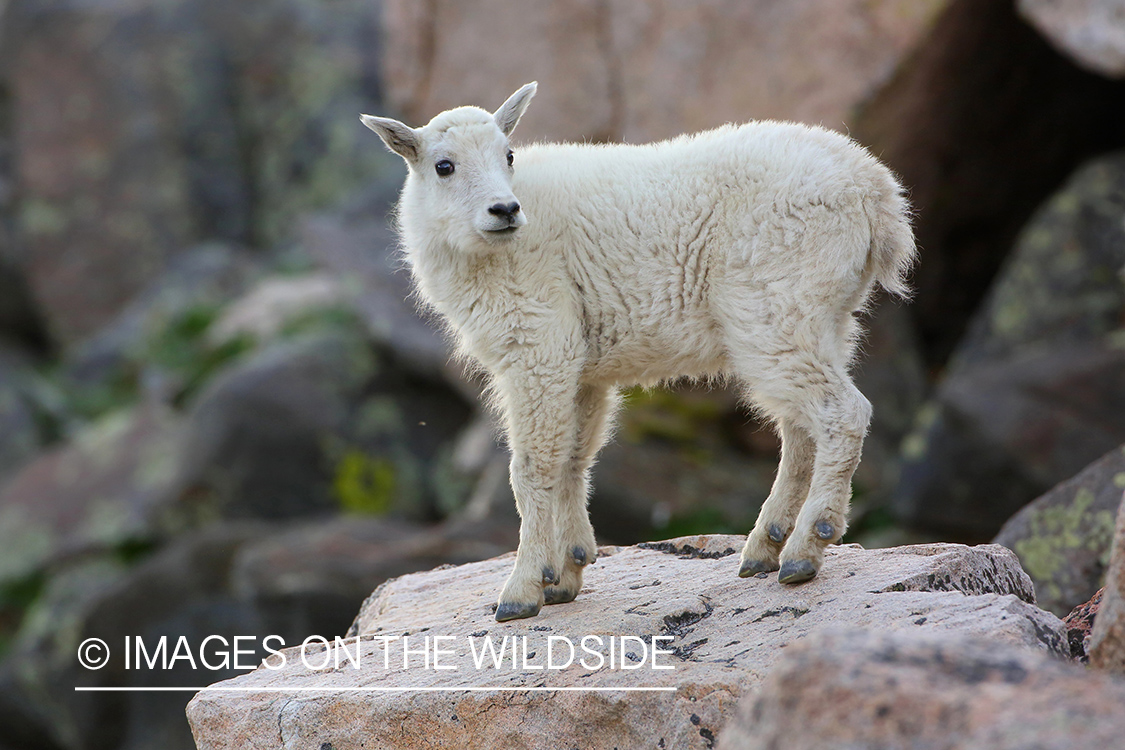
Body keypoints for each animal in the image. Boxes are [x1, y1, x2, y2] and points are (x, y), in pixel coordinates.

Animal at [364, 83, 918, 620]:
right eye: (444, 165)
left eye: (508, 154)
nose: (505, 210)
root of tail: (875, 191)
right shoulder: (580, 367)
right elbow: (572, 458)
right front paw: (566, 572)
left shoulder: (538, 344)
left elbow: (533, 467)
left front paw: (521, 591)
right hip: (825, 319)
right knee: (801, 428)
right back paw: (766, 546)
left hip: (774, 308)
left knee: (841, 413)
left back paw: (806, 548)